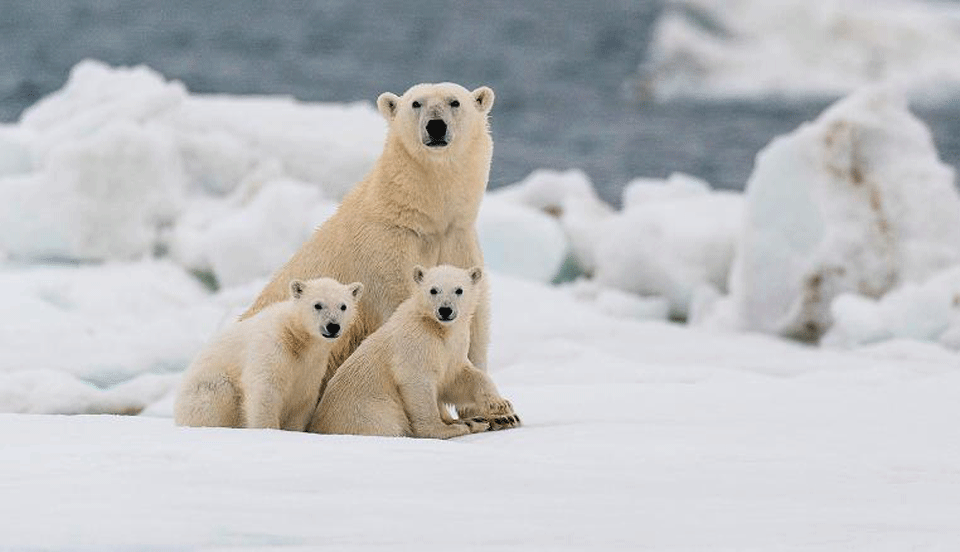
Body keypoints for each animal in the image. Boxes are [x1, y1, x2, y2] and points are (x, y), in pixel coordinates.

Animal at [173, 276, 364, 432]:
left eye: (343, 306)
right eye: (318, 305)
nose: (333, 326)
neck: (295, 338)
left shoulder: (311, 368)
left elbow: (302, 400)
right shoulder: (271, 346)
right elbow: (265, 388)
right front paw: (268, 430)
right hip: (204, 390)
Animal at [240, 83, 496, 392]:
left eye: (454, 101)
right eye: (416, 103)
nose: (436, 126)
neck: (421, 218)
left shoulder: (457, 240)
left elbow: (475, 320)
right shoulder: (387, 252)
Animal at [308, 264, 516, 440]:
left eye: (459, 290)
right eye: (433, 290)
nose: (445, 310)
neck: (438, 329)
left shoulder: (454, 347)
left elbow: (457, 377)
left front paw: (500, 405)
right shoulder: (416, 343)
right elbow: (417, 382)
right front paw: (443, 429)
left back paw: (477, 421)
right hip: (369, 410)